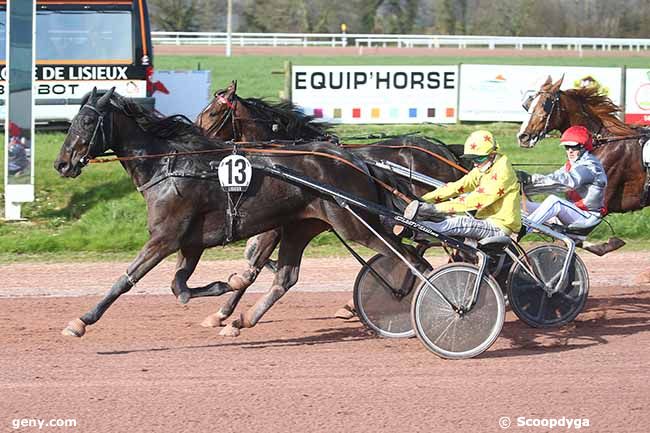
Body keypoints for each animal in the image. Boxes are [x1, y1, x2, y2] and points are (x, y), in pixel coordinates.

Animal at [192, 79, 466, 322]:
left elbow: (254, 261)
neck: (284, 157)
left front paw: (223, 312)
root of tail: (445, 152)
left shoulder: (276, 225)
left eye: (213, 112)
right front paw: (224, 312)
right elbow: (254, 259)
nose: (197, 139)